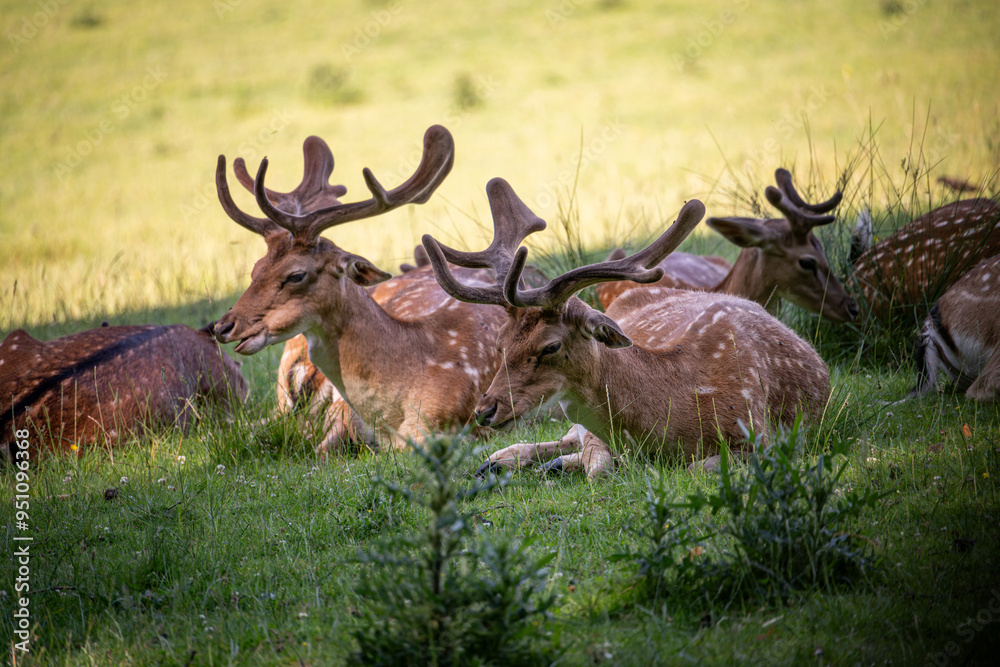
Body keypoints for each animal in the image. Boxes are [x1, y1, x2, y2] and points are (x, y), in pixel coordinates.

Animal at [421, 178, 831, 480]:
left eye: (550, 346)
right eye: (501, 341)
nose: (485, 410)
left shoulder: (761, 438)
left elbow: (697, 468)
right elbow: (597, 462)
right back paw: (499, 462)